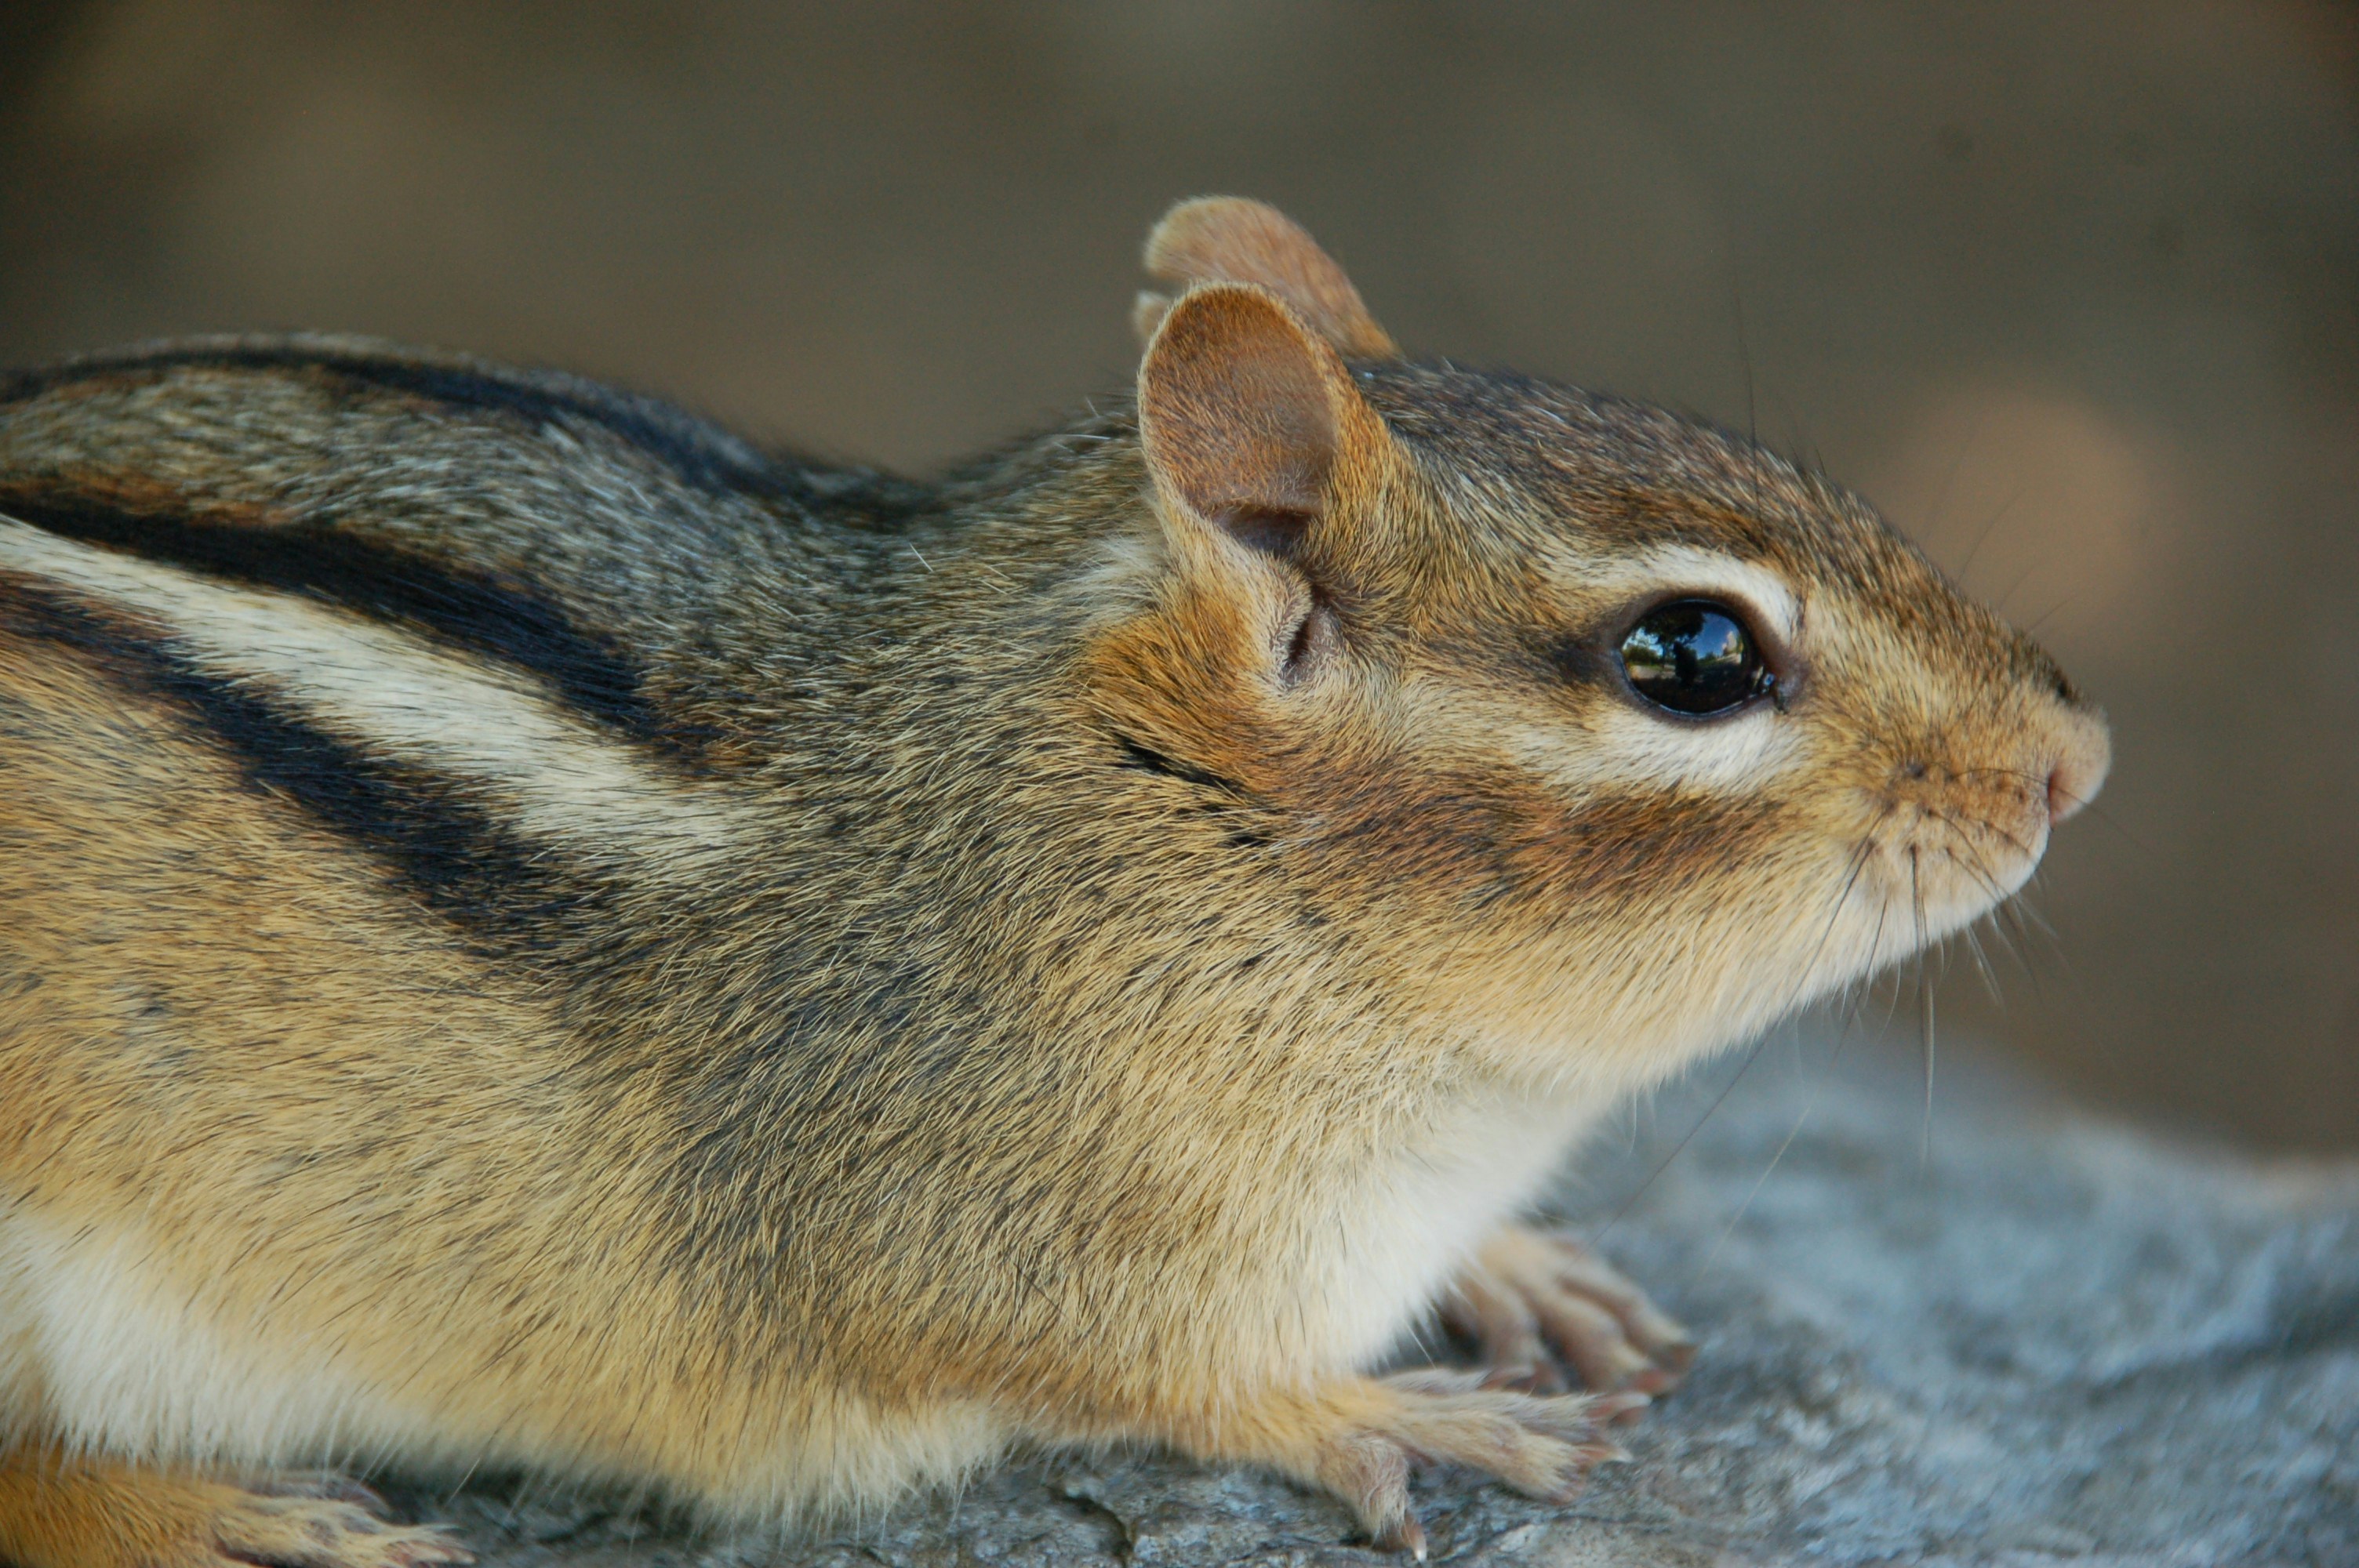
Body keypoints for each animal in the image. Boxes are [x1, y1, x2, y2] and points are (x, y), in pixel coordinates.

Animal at [0, 197, 2107, 1563]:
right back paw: (211, 1513)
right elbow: (1144, 1371)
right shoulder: (946, 1225)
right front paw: (1366, 1406)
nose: (2074, 757)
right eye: (1691, 655)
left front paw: (1524, 1269)